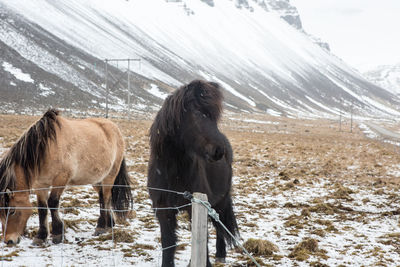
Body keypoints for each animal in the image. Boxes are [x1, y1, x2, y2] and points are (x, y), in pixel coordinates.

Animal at [0, 109, 132, 245]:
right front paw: (41, 236)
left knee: (105, 198)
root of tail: (115, 129)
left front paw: (58, 233)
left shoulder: (61, 179)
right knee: (103, 197)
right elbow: (42, 208)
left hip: (109, 176)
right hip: (96, 180)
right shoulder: (40, 184)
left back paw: (101, 227)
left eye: (12, 210)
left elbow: (52, 203)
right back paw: (109, 224)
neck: (46, 148)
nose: (8, 241)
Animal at [148, 80, 239, 267]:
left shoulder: (196, 205)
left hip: (220, 201)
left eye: (214, 116)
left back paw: (220, 254)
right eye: (197, 113)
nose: (219, 150)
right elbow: (168, 243)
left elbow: (201, 240)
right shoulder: (163, 209)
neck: (173, 172)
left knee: (219, 225)